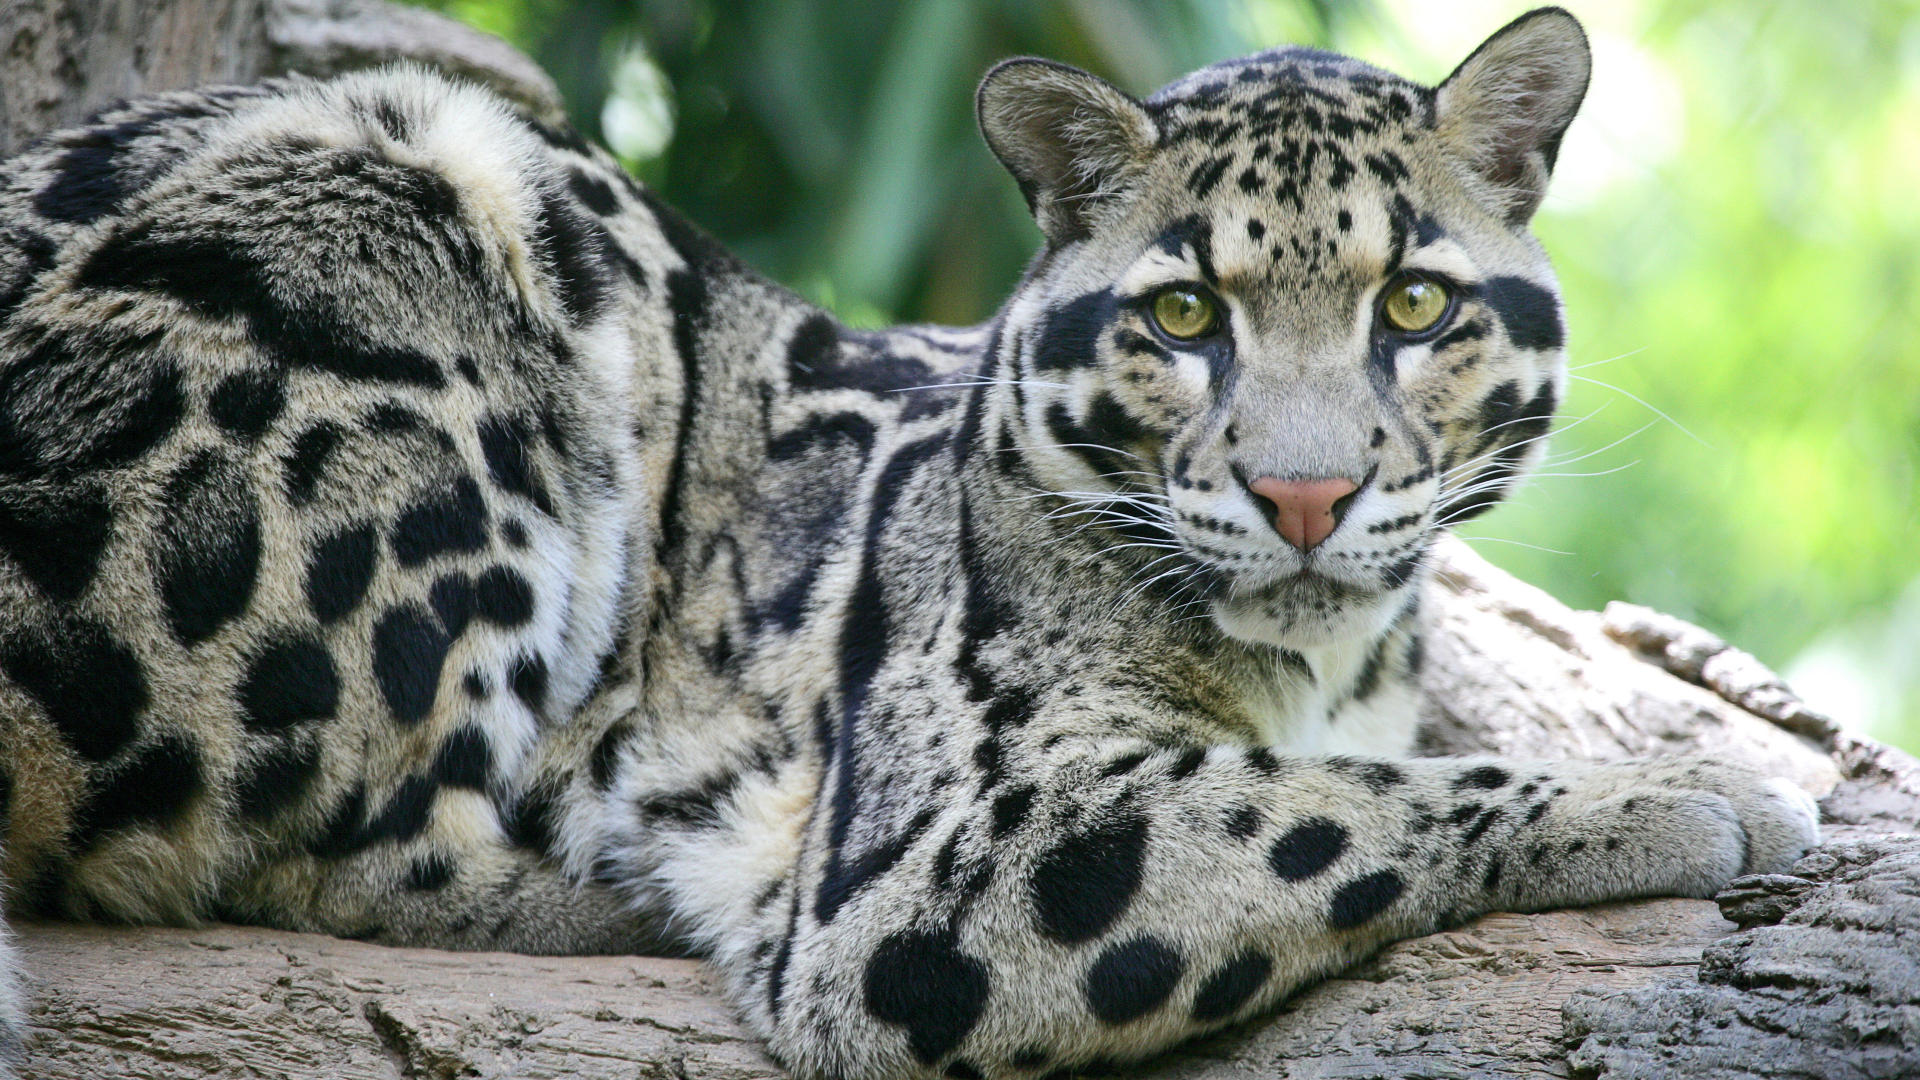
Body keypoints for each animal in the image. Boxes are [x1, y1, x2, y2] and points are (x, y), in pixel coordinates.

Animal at [0, 8, 1819, 1078]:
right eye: (1183, 315)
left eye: (1416, 306)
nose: (1305, 497)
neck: (1321, 650)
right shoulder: (936, 863)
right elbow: (1331, 802)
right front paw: (1690, 789)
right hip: (413, 199)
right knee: (307, 843)